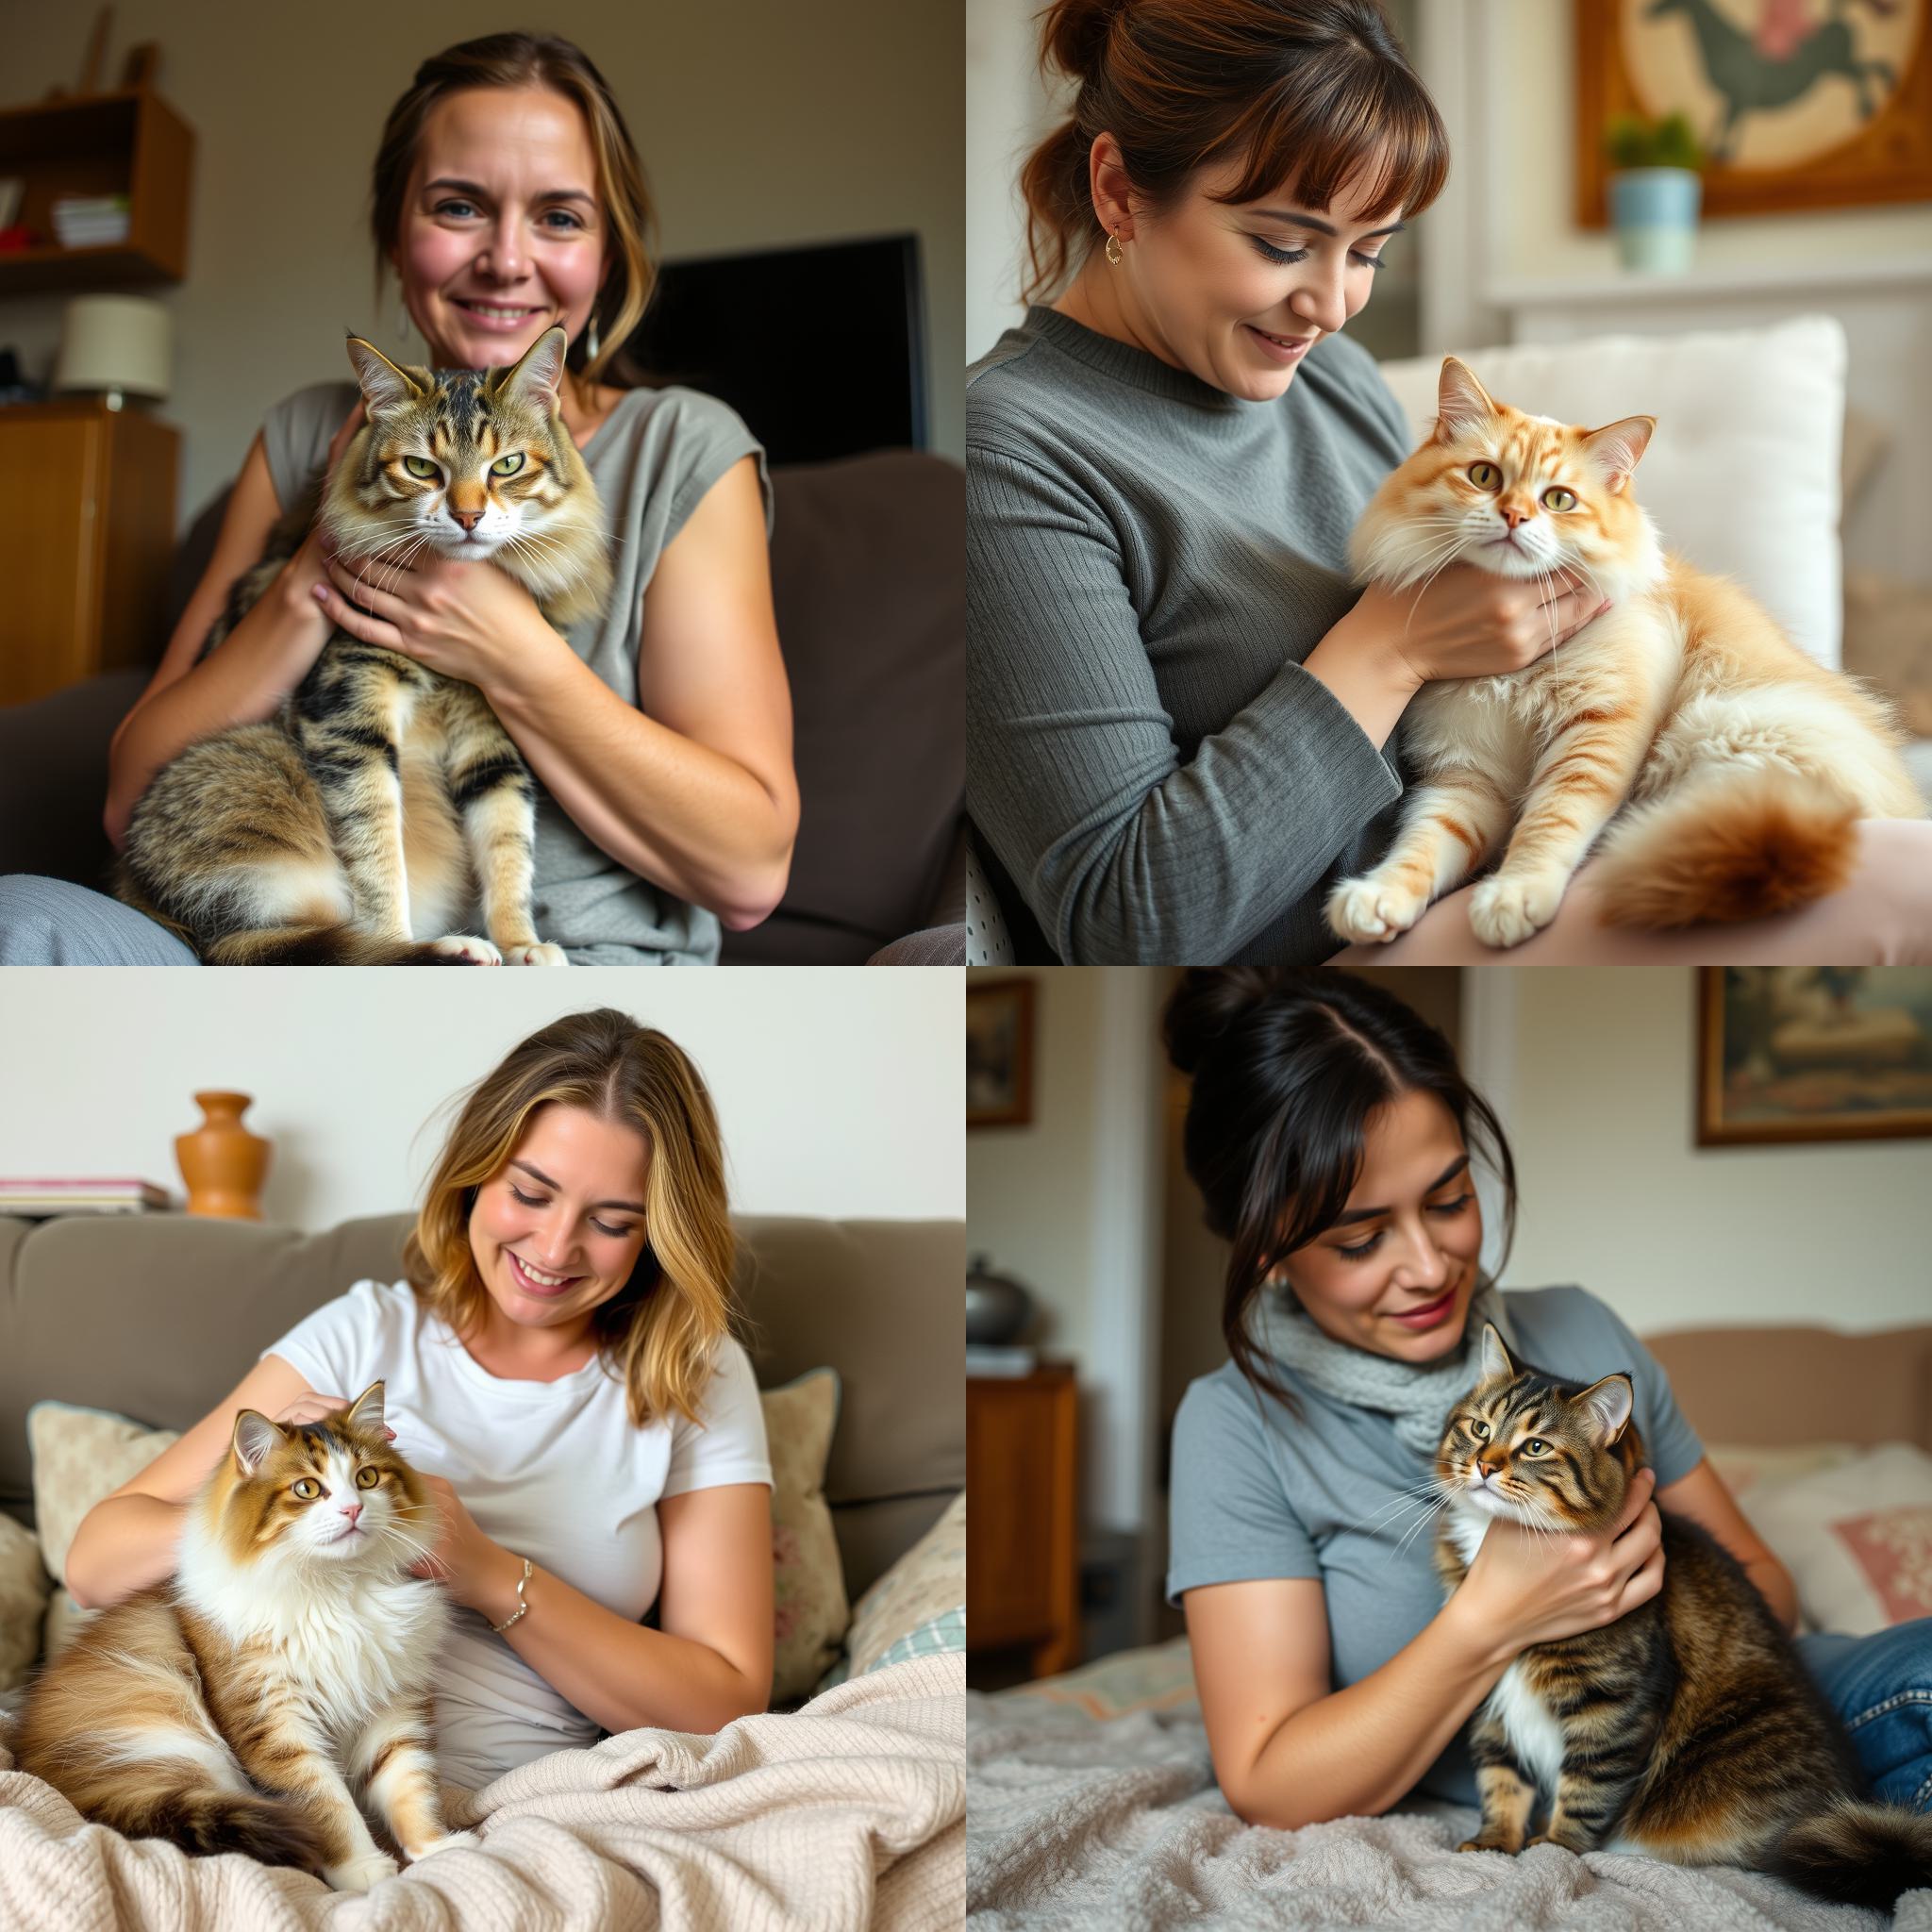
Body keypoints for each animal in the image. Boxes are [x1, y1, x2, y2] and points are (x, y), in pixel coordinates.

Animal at [6, 1383, 473, 1893]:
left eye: (367, 1478)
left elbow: (409, 1786)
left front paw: (437, 1849)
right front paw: (361, 1868)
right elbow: (326, 1803)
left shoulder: (391, 1706)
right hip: (174, 1737)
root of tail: (43, 1767)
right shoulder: (273, 1721)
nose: (353, 1509)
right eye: (307, 1489)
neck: (336, 1590)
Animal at [114, 326, 610, 974]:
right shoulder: (351, 711)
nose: (469, 516)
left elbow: (508, 848)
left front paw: (521, 942)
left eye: (508, 465)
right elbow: (377, 852)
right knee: (291, 940)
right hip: (256, 769)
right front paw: (403, 936)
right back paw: (447, 948)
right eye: (422, 467)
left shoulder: (494, 733)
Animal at [1321, 355, 1924, 950]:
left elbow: (1549, 823)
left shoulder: (1598, 727)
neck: (1515, 673)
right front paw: (1377, 900)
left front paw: (1514, 896)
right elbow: (1423, 844)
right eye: (1484, 476)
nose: (1514, 517)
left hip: (1723, 730)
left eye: (1558, 500)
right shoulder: (1468, 774)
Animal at [1437, 1321, 1932, 1908]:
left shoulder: (1613, 1705)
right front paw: (1495, 1843)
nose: (1484, 1465)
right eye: (1480, 1428)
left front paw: (1551, 1849)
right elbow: (1502, 1780)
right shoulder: (1491, 1692)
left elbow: (1584, 1795)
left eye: (1536, 1447)